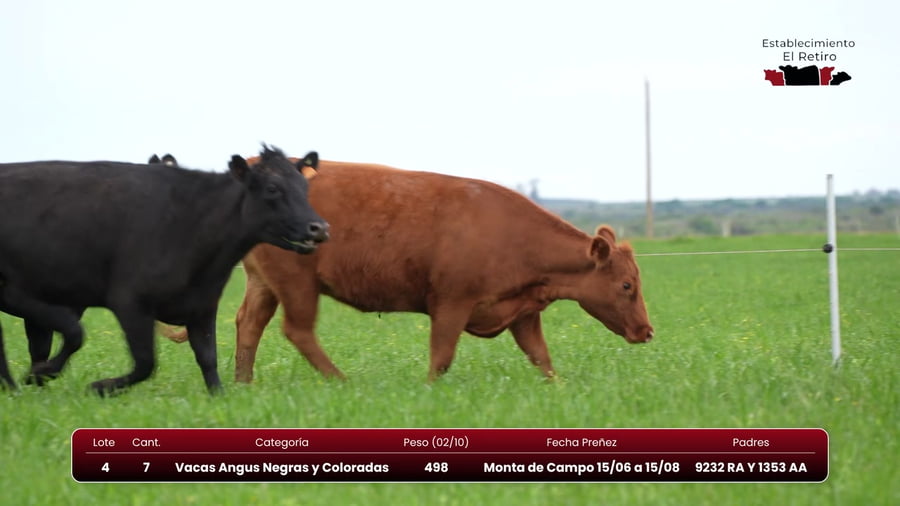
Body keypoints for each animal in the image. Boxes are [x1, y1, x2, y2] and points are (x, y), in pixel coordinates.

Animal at [0, 146, 329, 395]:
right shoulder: (130, 302)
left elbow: (208, 359)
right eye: (272, 189)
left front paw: (220, 398)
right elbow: (143, 361)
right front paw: (94, 385)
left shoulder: (202, 305)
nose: (319, 227)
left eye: (305, 187)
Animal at [230, 158, 654, 383]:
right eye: (626, 284)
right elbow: (442, 356)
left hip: (264, 282)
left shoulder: (522, 313)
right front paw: (429, 392)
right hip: (297, 281)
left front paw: (559, 390)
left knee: (249, 324)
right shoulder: (451, 302)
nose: (647, 331)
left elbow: (541, 358)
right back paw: (342, 381)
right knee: (297, 330)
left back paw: (243, 384)